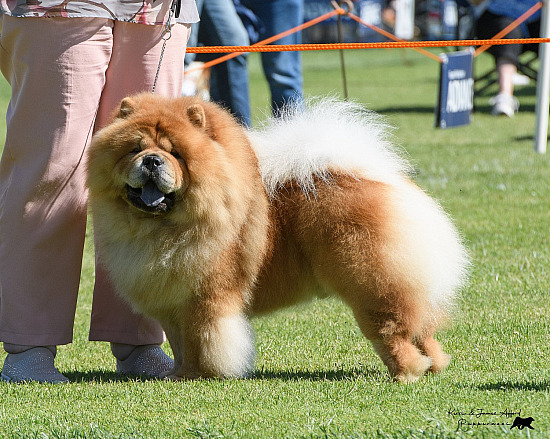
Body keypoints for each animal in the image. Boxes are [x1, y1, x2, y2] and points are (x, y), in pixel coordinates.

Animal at [87, 94, 470, 384]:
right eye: (134, 150)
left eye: (176, 154)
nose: (152, 161)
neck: (160, 227)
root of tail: (379, 179)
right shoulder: (172, 302)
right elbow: (181, 345)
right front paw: (176, 374)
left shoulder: (206, 299)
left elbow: (202, 341)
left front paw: (196, 376)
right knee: (422, 330)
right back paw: (434, 366)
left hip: (372, 286)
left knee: (394, 334)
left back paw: (406, 374)